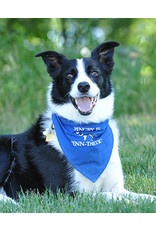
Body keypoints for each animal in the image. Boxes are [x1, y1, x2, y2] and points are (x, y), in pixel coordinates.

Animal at [0, 41, 155, 203]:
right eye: (69, 75)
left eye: (94, 73)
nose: (83, 86)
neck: (86, 125)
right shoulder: (66, 193)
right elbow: (108, 195)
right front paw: (128, 203)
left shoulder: (117, 187)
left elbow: (141, 196)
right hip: (5, 148)